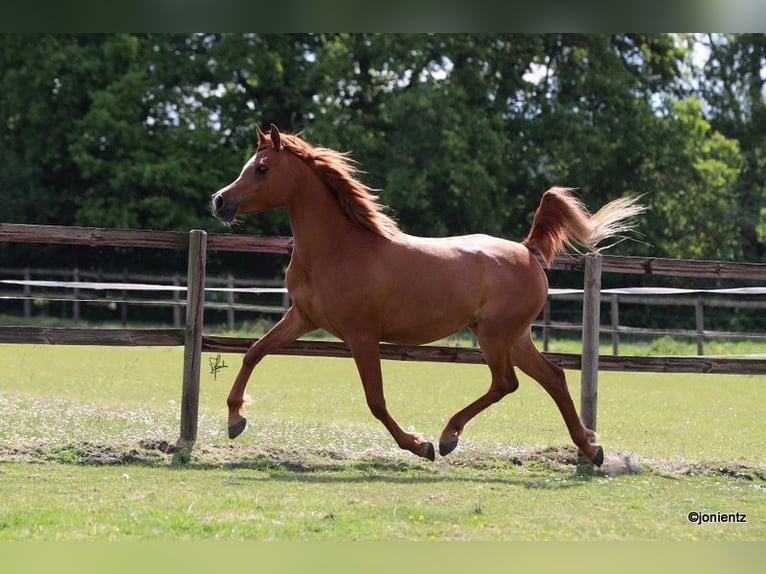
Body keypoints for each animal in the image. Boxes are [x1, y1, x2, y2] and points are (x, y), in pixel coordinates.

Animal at [211, 124, 644, 466]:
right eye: (248, 166)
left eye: (262, 168)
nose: (219, 200)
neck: (339, 248)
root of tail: (527, 249)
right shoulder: (303, 317)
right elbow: (254, 352)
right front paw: (235, 419)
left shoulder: (361, 335)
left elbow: (376, 400)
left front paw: (419, 446)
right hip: (515, 336)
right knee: (553, 378)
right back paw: (591, 448)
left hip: (495, 336)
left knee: (506, 383)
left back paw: (449, 436)